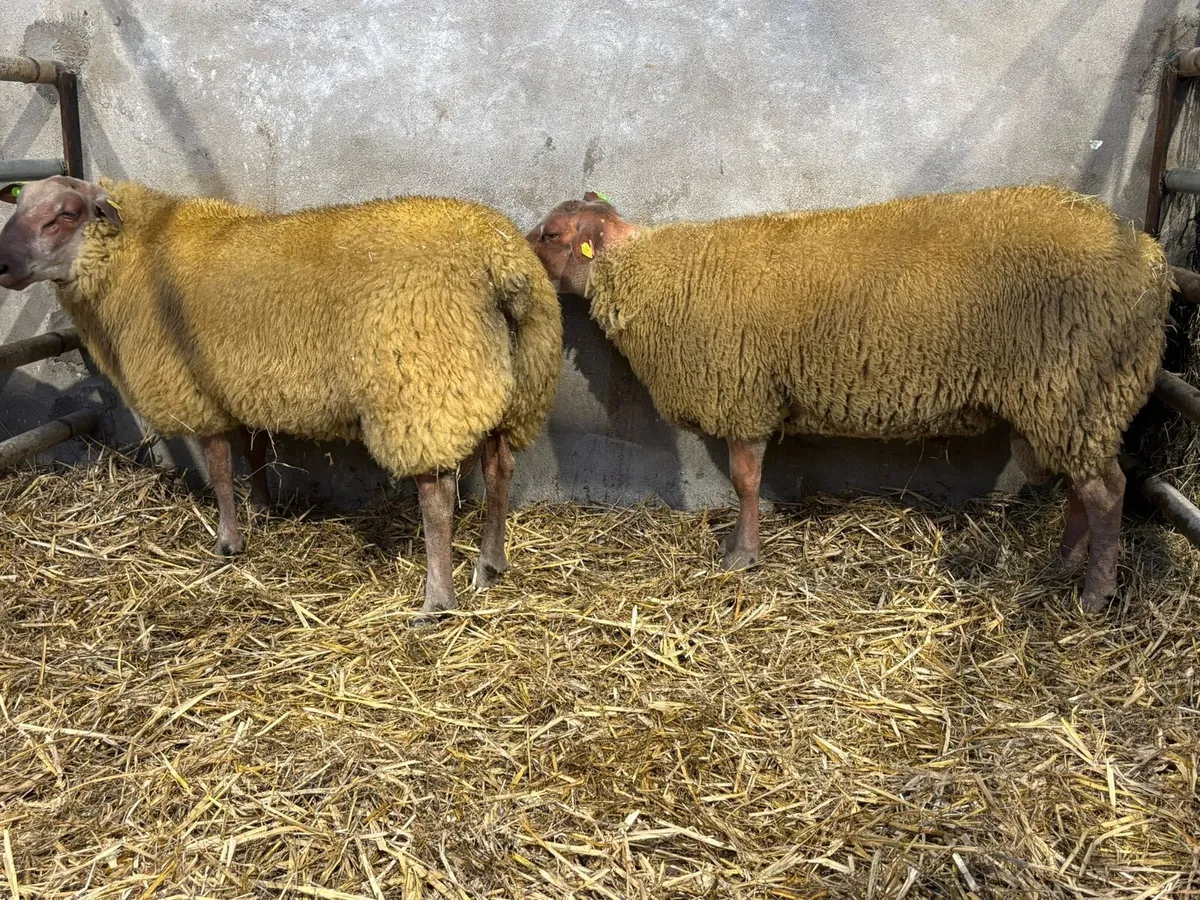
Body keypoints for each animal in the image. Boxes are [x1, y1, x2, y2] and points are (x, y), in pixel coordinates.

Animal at [0, 175, 562, 618]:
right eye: (19, 204)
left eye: (65, 214)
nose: (2, 265)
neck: (131, 256)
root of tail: (499, 258)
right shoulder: (242, 387)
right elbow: (253, 454)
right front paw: (264, 510)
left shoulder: (196, 392)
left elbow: (220, 470)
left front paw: (228, 543)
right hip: (503, 384)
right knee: (500, 468)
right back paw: (490, 564)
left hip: (422, 393)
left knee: (439, 499)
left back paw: (436, 601)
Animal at [526, 186, 1173, 613]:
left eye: (551, 235)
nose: (521, 267)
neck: (652, 275)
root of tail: (1150, 258)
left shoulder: (745, 393)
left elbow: (745, 481)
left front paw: (741, 556)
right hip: (1067, 403)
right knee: (1083, 485)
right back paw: (1063, 564)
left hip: (1078, 386)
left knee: (1105, 491)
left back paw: (1095, 593)